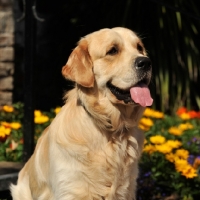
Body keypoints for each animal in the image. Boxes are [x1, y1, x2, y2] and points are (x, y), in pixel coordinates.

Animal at [10, 27, 152, 200]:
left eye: (139, 48)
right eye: (112, 51)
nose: (146, 62)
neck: (112, 130)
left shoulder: (126, 189)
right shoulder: (71, 189)